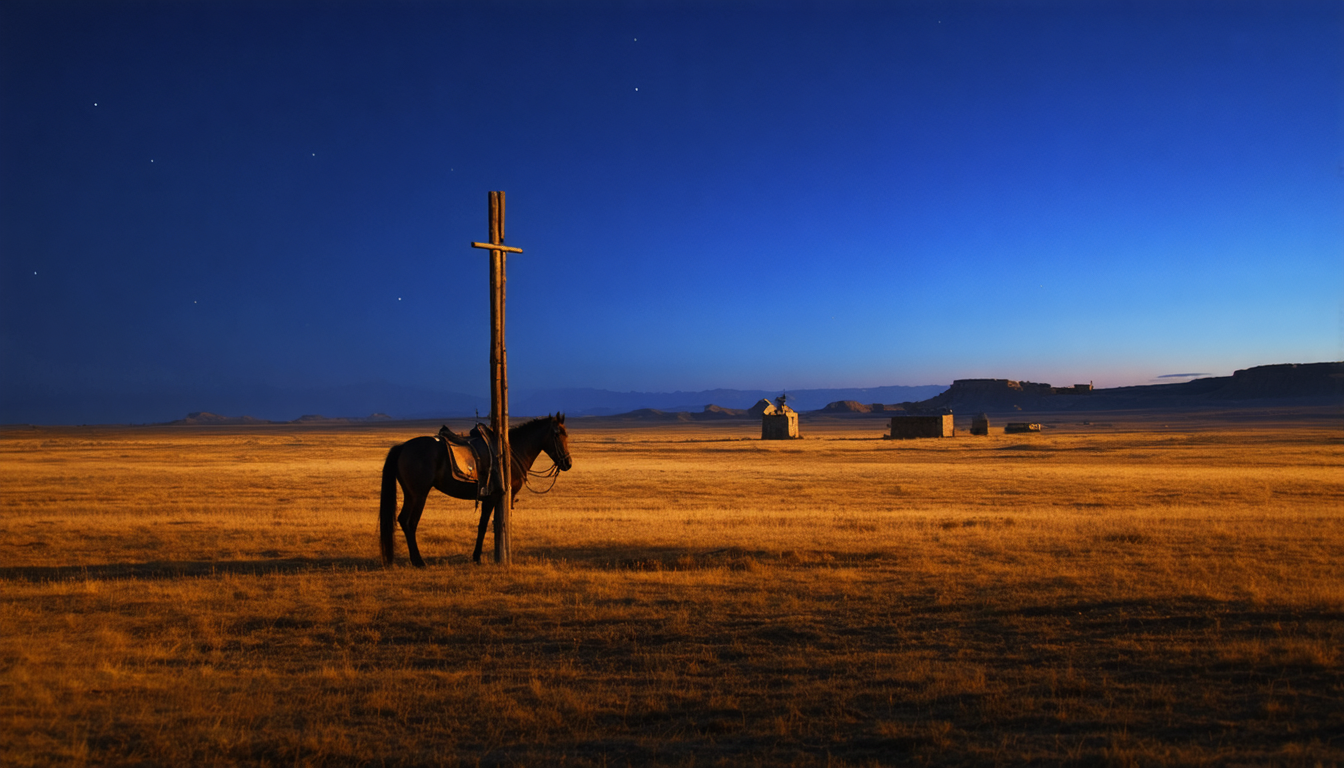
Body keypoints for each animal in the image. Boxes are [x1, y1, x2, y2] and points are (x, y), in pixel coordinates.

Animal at [379, 413, 572, 566]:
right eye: (557, 434)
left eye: (567, 434)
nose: (568, 463)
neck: (509, 454)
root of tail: (403, 447)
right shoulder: (493, 497)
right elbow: (484, 525)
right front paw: (477, 557)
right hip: (419, 495)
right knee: (410, 522)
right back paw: (418, 561)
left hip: (410, 494)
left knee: (402, 520)